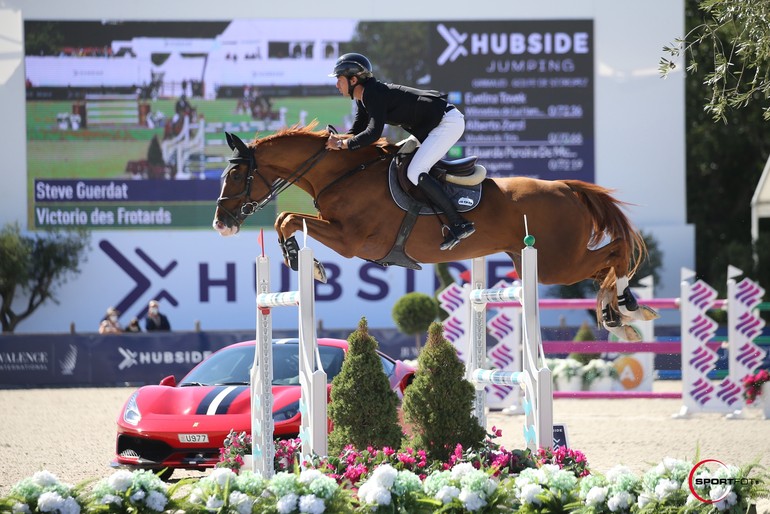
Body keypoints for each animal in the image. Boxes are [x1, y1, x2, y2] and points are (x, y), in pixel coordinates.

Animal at [213, 122, 656, 340]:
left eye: (234, 175)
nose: (221, 223)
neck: (344, 173)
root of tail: (566, 187)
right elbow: (284, 219)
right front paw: (302, 260)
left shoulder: (351, 240)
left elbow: (287, 217)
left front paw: (308, 264)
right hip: (539, 261)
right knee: (604, 267)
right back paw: (622, 311)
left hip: (553, 263)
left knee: (614, 253)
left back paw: (623, 308)